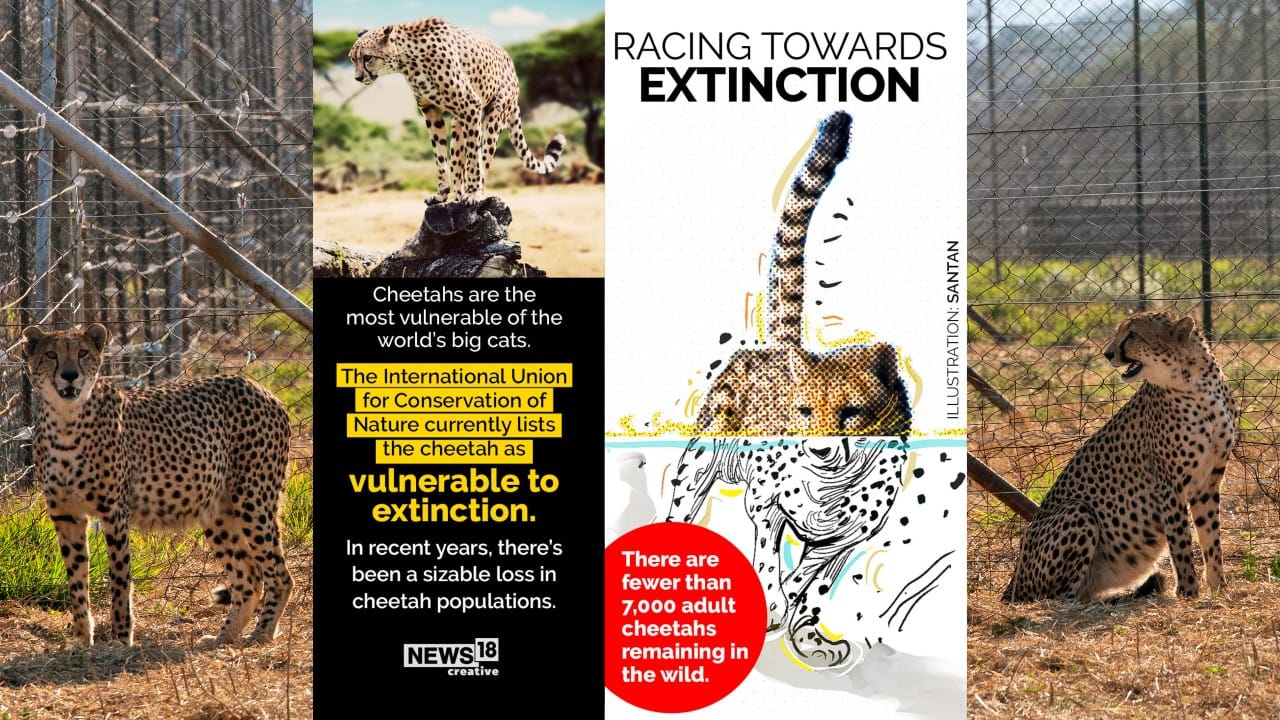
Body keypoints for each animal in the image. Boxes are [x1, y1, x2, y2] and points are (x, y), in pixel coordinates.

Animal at [22, 323, 294, 646]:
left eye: (83, 353)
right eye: (51, 354)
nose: (69, 375)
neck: (66, 420)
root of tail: (259, 388)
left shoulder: (114, 512)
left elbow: (119, 579)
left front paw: (121, 639)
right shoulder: (66, 515)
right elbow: (76, 580)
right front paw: (82, 641)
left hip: (253, 500)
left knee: (279, 574)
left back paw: (261, 633)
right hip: (218, 512)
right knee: (249, 577)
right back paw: (223, 637)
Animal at [348, 16, 565, 204]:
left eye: (367, 57)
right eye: (352, 59)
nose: (358, 78)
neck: (408, 61)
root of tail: (512, 65)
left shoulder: (471, 104)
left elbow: (473, 158)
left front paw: (474, 193)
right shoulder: (430, 110)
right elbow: (441, 156)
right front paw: (441, 194)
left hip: (493, 115)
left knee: (483, 156)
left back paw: (476, 191)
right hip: (458, 121)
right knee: (458, 157)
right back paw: (459, 194)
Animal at [1002, 310, 1237, 603]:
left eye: (1132, 334)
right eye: (1120, 332)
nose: (1108, 353)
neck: (1196, 383)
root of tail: (1012, 582)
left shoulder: (1208, 482)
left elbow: (1211, 538)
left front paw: (1219, 588)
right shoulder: (1169, 485)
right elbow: (1181, 544)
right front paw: (1188, 593)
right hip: (1078, 511)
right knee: (1060, 596)